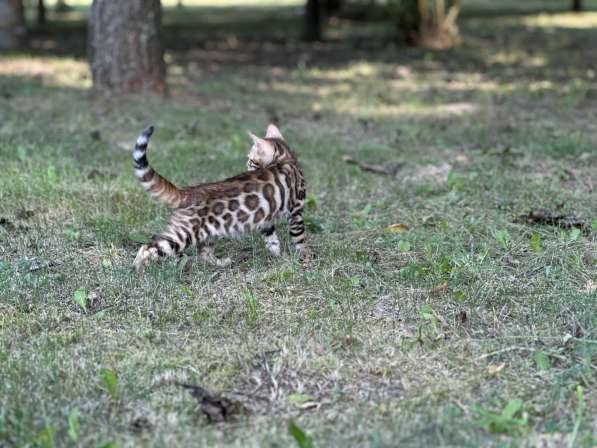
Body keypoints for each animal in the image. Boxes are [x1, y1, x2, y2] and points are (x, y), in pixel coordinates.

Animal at [132, 123, 304, 270]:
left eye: (251, 160)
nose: (246, 166)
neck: (285, 159)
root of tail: (190, 191)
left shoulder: (267, 220)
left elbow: (272, 241)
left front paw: (279, 256)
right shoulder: (297, 210)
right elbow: (299, 239)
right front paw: (304, 259)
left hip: (207, 232)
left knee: (203, 252)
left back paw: (221, 263)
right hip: (184, 234)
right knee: (147, 247)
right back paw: (138, 269)